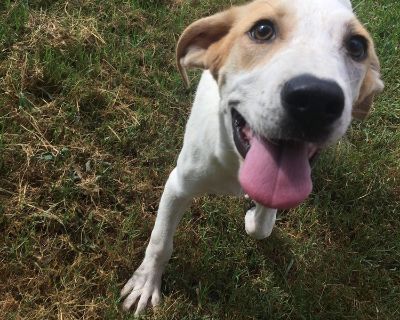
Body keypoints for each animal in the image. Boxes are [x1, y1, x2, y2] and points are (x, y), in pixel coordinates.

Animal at [120, 0, 382, 316]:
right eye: (262, 29)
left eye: (357, 45)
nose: (316, 100)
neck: (235, 161)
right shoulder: (178, 184)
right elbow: (160, 242)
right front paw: (146, 282)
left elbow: (262, 226)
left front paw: (253, 216)